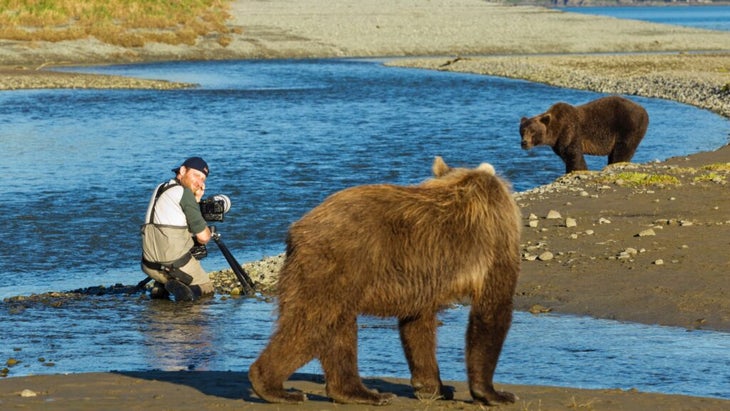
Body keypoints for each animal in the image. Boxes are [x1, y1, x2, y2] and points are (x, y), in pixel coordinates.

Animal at [247, 157, 520, 406]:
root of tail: (296, 229)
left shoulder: (421, 280)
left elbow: (417, 325)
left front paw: (433, 387)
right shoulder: (494, 244)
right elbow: (492, 311)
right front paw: (495, 393)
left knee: (338, 328)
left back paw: (360, 393)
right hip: (335, 266)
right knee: (313, 322)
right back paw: (276, 388)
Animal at [516, 95, 648, 174]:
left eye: (532, 131)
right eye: (522, 131)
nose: (524, 143)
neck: (556, 130)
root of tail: (644, 110)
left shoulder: (570, 131)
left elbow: (573, 154)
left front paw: (577, 170)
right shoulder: (558, 142)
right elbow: (564, 155)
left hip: (628, 126)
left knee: (622, 149)